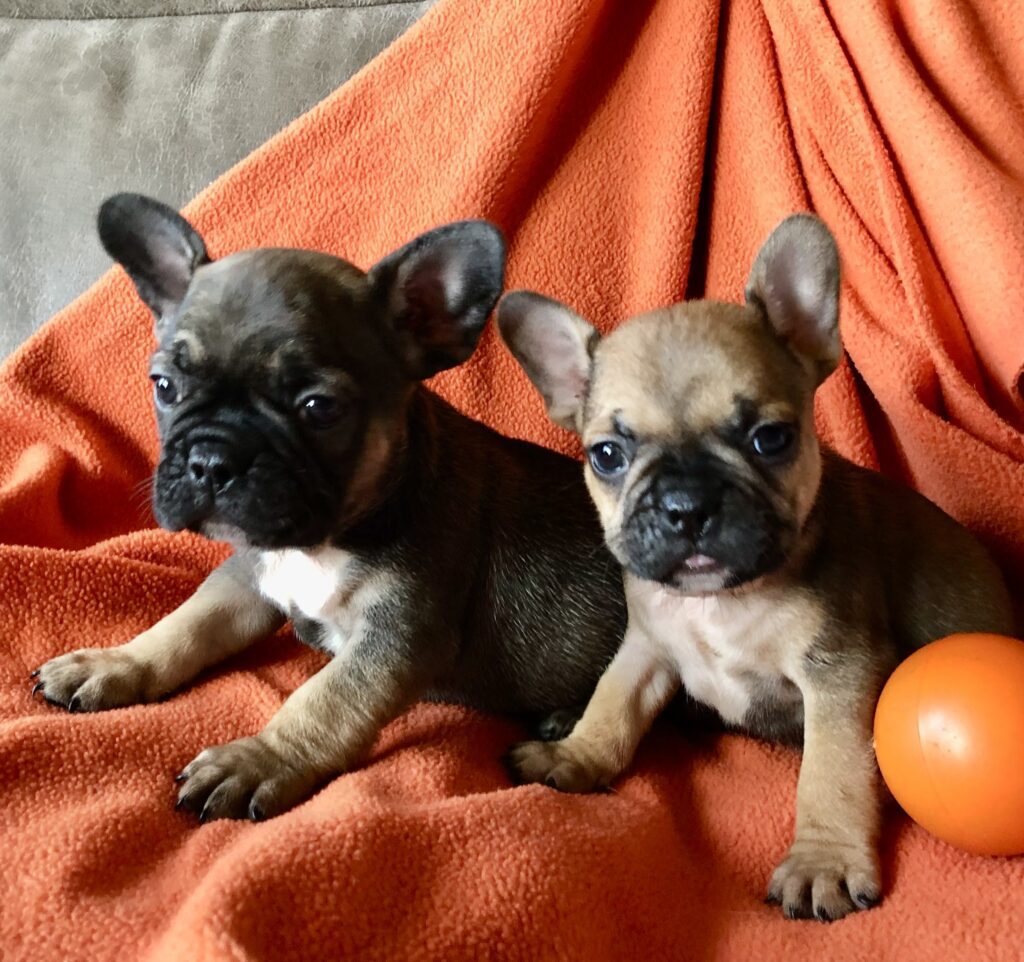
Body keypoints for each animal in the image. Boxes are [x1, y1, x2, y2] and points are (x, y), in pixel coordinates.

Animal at [32, 193, 622, 819]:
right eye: (164, 387)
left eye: (319, 408)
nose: (212, 460)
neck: (319, 543)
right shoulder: (247, 578)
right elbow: (184, 625)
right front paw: (115, 664)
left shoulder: (397, 638)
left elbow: (324, 701)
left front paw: (257, 758)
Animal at [497, 216, 1015, 926]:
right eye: (606, 455)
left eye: (770, 439)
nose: (685, 504)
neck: (723, 600)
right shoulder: (647, 648)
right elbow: (614, 703)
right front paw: (578, 754)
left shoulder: (839, 674)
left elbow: (831, 774)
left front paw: (822, 862)